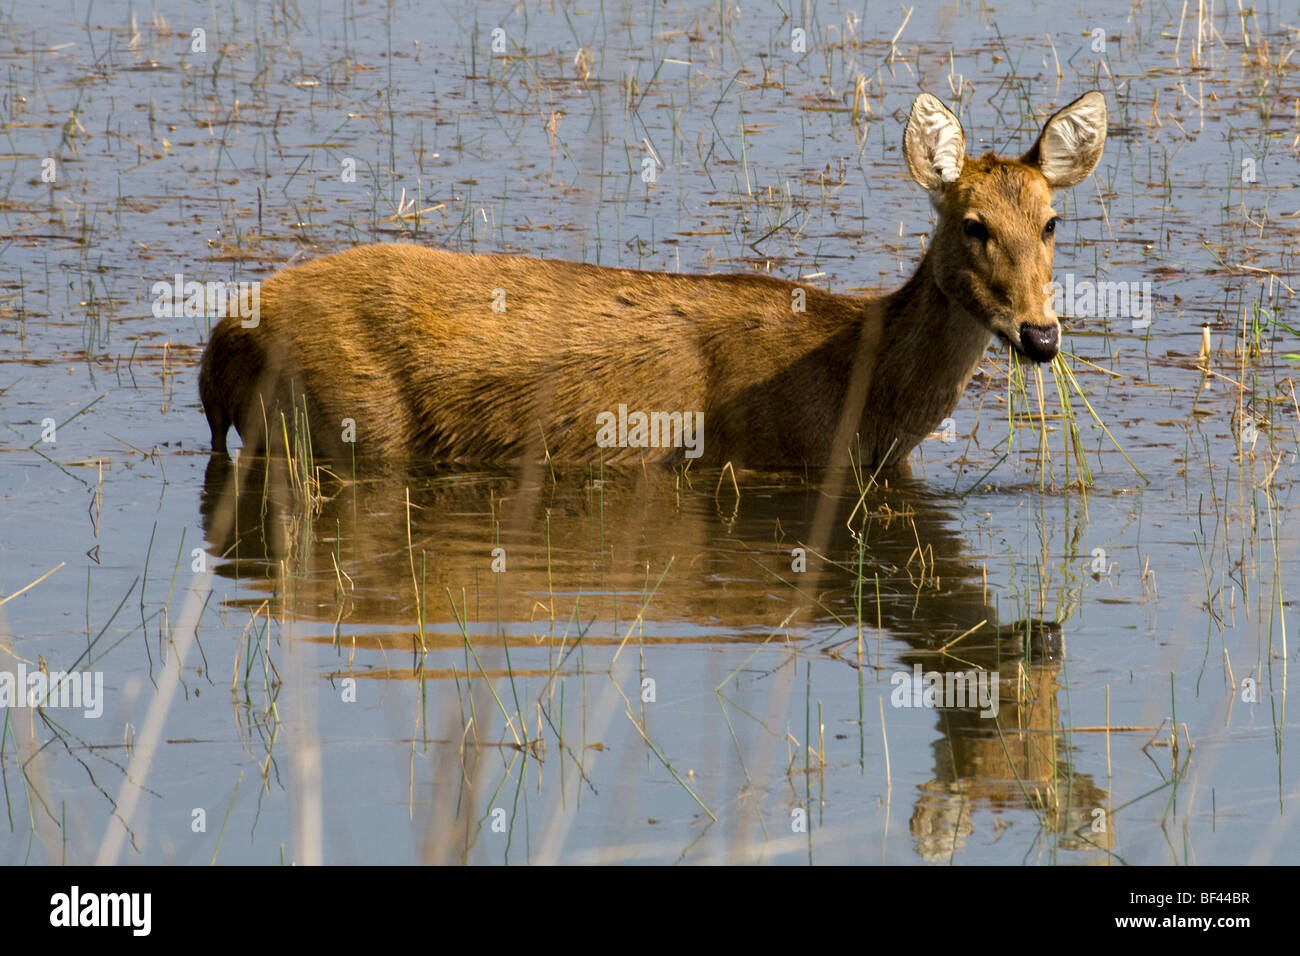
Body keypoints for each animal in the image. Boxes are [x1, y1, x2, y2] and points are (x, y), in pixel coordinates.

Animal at [200, 91, 1107, 473]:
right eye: (973, 224)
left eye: (1052, 222)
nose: (1040, 334)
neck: (859, 381)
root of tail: (225, 334)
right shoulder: (776, 460)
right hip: (341, 418)